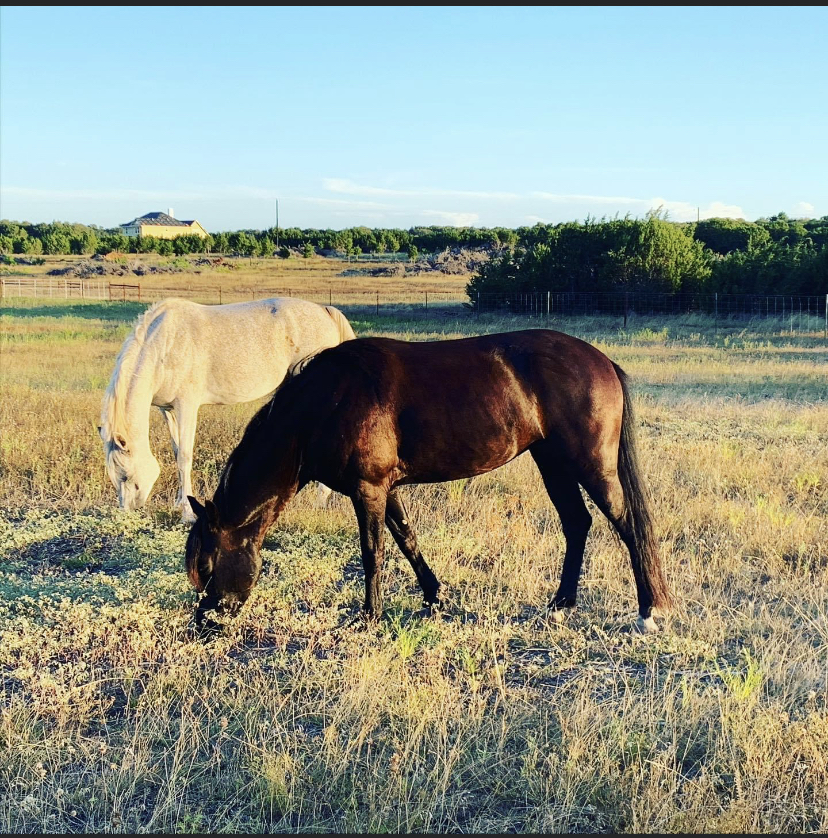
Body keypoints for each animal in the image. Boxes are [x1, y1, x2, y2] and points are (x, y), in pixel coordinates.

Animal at [98, 294, 354, 520]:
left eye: (125, 476)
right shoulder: (168, 410)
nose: (127, 510)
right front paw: (179, 503)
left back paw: (320, 500)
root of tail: (324, 311)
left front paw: (187, 513)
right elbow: (176, 451)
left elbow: (184, 457)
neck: (164, 345)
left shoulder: (186, 406)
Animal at [186, 332, 672, 632]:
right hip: (552, 462)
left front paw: (370, 616)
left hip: (591, 465)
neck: (326, 401)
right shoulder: (386, 489)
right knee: (577, 523)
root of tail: (601, 360)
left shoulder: (368, 489)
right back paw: (561, 604)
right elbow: (407, 539)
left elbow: (373, 552)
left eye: (207, 567)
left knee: (628, 526)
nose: (204, 622)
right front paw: (435, 596)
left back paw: (647, 610)